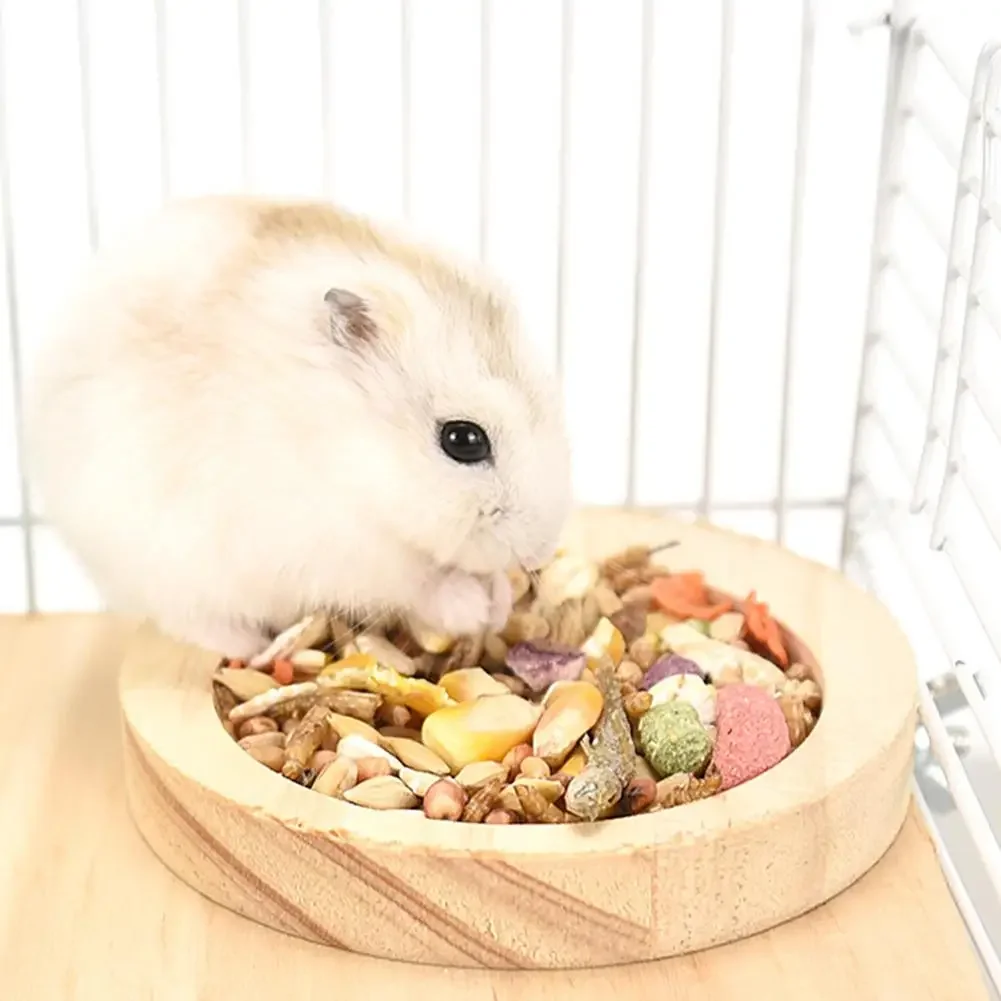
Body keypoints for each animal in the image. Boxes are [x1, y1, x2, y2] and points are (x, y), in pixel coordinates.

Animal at [24, 195, 572, 658]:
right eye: (463, 440)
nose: (542, 549)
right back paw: (251, 648)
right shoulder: (328, 546)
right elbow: (415, 580)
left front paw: (500, 601)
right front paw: (473, 608)